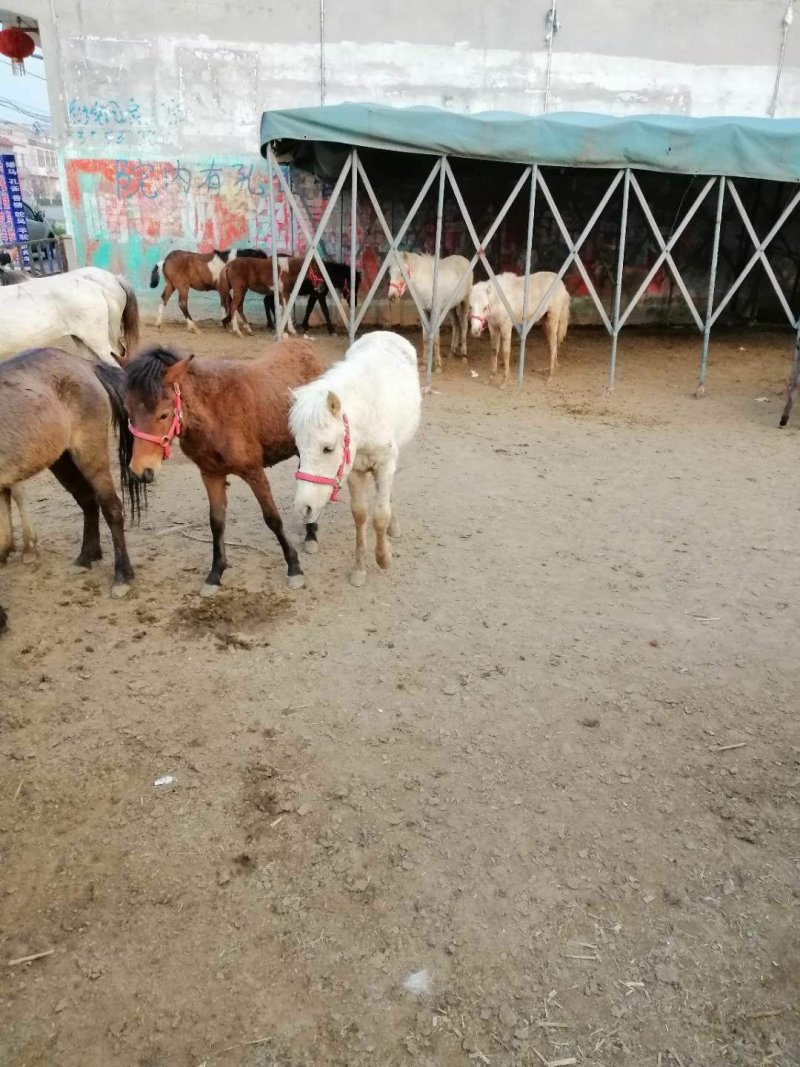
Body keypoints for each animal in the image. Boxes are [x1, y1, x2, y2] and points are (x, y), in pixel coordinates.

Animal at [0, 348, 144, 630]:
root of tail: (83, 363)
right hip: (61, 460)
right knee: (88, 502)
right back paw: (87, 556)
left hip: (89, 455)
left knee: (111, 507)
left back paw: (122, 575)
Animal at [125, 340, 323, 595]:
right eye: (128, 411)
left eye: (163, 414)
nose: (140, 471)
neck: (214, 415)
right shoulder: (211, 474)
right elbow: (217, 522)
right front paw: (215, 573)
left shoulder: (254, 472)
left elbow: (272, 518)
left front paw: (294, 567)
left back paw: (311, 534)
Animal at [290, 331, 421, 588]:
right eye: (298, 448)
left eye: (328, 449)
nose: (303, 508)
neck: (367, 417)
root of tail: (385, 333)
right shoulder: (354, 470)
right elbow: (360, 515)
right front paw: (359, 569)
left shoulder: (385, 465)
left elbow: (380, 516)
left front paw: (383, 557)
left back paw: (394, 527)